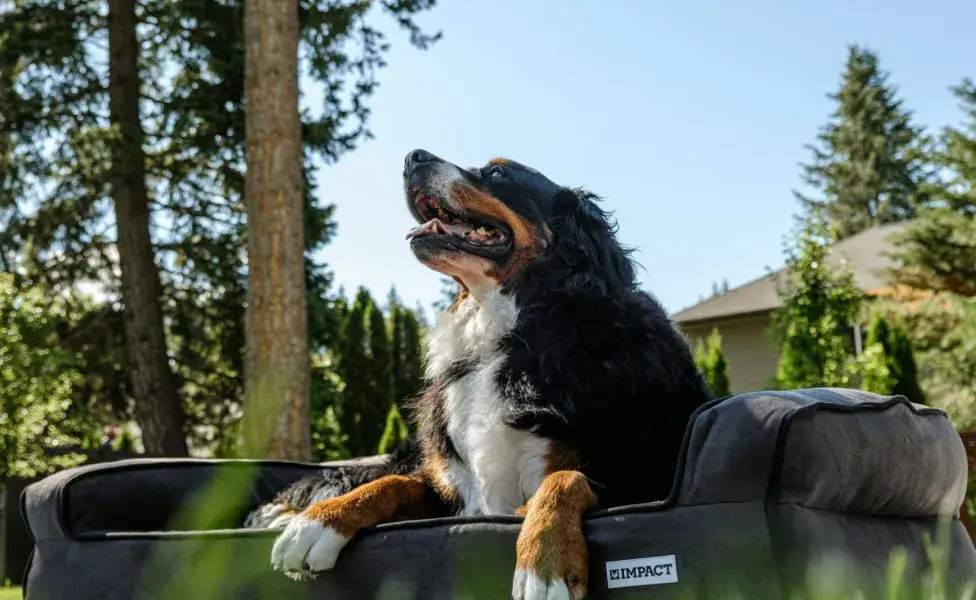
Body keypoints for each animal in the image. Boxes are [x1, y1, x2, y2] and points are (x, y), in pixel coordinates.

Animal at [255, 150, 712, 600]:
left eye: (498, 174)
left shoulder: (642, 475)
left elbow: (565, 478)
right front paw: (319, 521)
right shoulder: (451, 488)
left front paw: (543, 561)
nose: (412, 157)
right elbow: (395, 483)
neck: (508, 336)